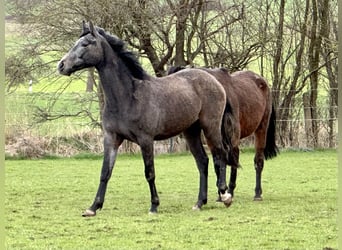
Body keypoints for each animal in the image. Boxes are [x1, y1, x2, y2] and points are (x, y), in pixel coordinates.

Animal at [58, 21, 236, 216]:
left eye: (85, 44)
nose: (62, 65)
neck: (128, 97)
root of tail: (215, 81)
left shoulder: (145, 140)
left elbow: (149, 173)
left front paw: (154, 206)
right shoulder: (111, 139)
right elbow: (105, 172)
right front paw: (93, 208)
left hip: (210, 127)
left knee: (220, 155)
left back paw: (225, 195)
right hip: (191, 131)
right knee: (202, 161)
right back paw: (199, 202)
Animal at [168, 66, 278, 201]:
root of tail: (263, 82)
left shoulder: (233, 140)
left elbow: (232, 162)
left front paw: (228, 191)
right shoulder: (212, 141)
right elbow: (218, 163)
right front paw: (221, 194)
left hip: (261, 129)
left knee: (258, 160)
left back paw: (257, 193)